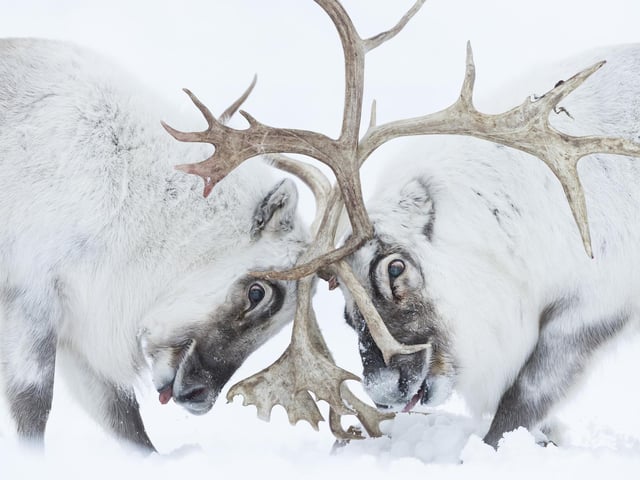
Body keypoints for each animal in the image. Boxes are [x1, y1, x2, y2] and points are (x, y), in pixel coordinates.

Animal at [0, 38, 308, 451]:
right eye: (257, 292)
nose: (199, 397)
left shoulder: (82, 327)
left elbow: (124, 421)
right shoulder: (32, 296)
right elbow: (32, 406)